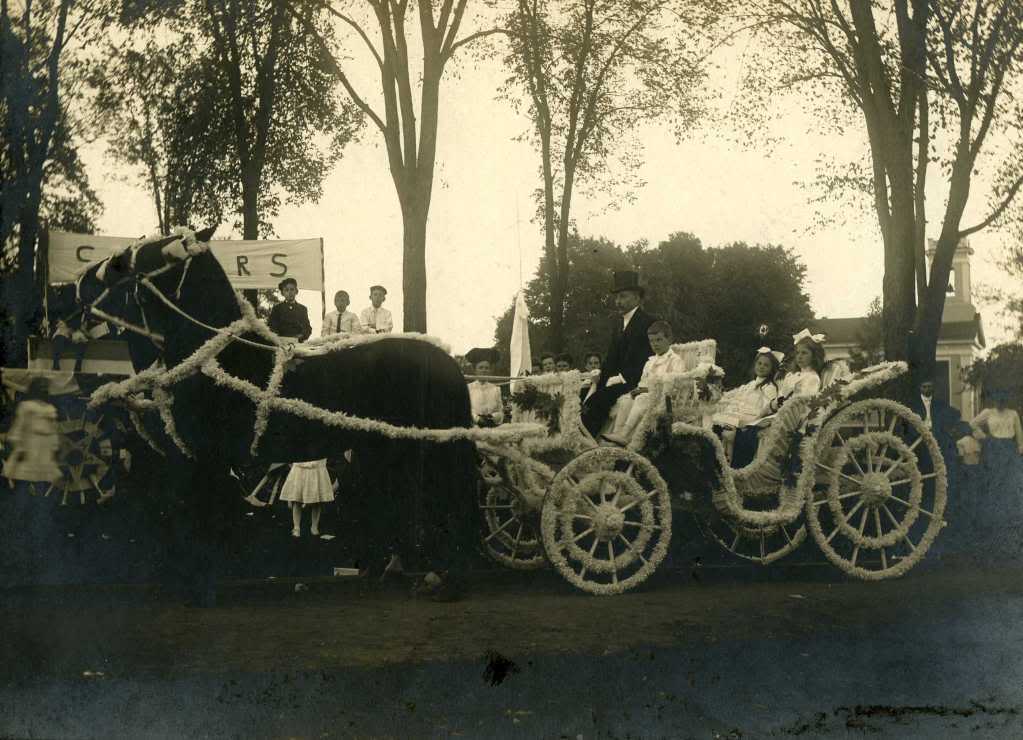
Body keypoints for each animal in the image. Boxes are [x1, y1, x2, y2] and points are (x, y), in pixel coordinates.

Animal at [74, 228, 480, 605]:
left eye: (124, 260)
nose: (77, 282)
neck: (219, 358)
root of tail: (446, 360)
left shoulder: (205, 459)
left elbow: (201, 518)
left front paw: (199, 587)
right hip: (394, 449)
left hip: (433, 446)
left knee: (451, 498)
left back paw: (448, 580)